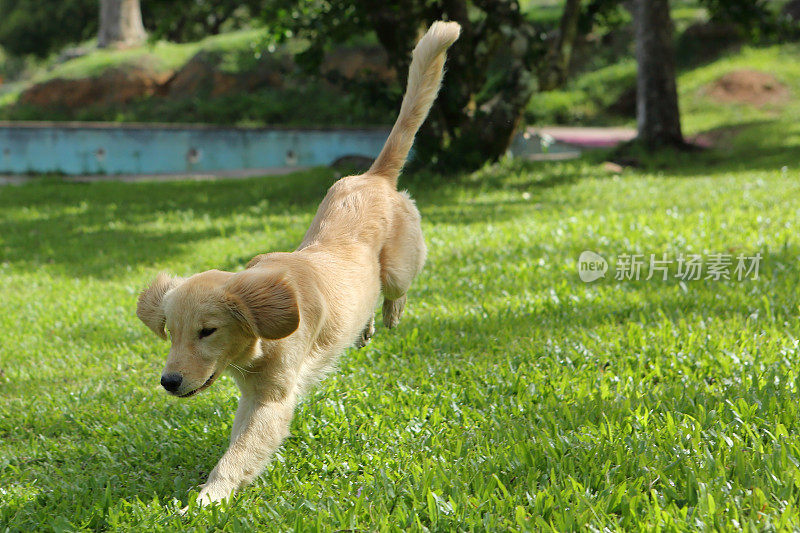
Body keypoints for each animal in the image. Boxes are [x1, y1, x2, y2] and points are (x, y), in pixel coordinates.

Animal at [137, 19, 460, 502]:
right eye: (170, 333)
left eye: (207, 331)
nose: (169, 382)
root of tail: (374, 176)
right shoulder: (251, 395)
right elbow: (239, 442)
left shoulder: (272, 399)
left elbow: (240, 452)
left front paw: (210, 496)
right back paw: (365, 325)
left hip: (401, 267)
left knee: (396, 290)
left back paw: (391, 314)